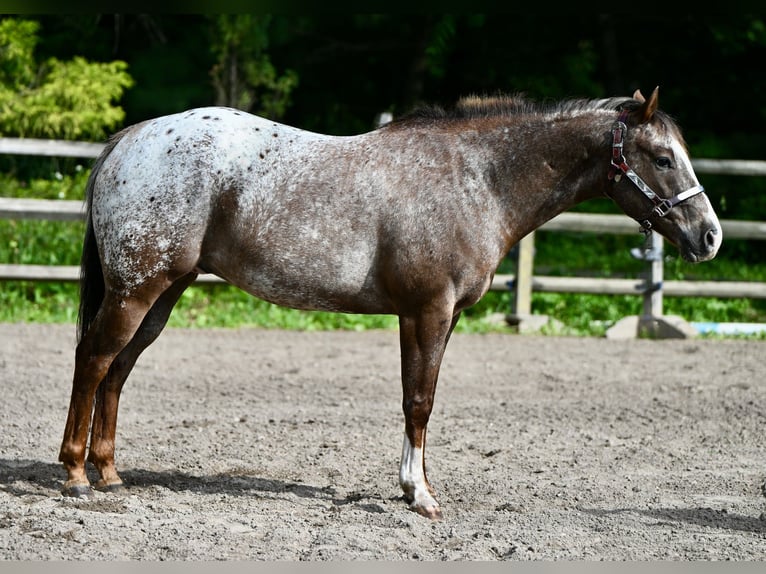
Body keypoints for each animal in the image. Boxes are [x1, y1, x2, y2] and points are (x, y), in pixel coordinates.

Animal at [58, 87, 722, 520]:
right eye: (663, 158)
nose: (710, 236)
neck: (477, 179)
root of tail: (130, 141)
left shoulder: (442, 317)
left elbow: (420, 400)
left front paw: (412, 486)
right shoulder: (426, 312)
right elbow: (418, 400)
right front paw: (420, 495)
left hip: (161, 295)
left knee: (117, 370)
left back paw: (110, 474)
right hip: (137, 291)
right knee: (92, 362)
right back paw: (75, 476)